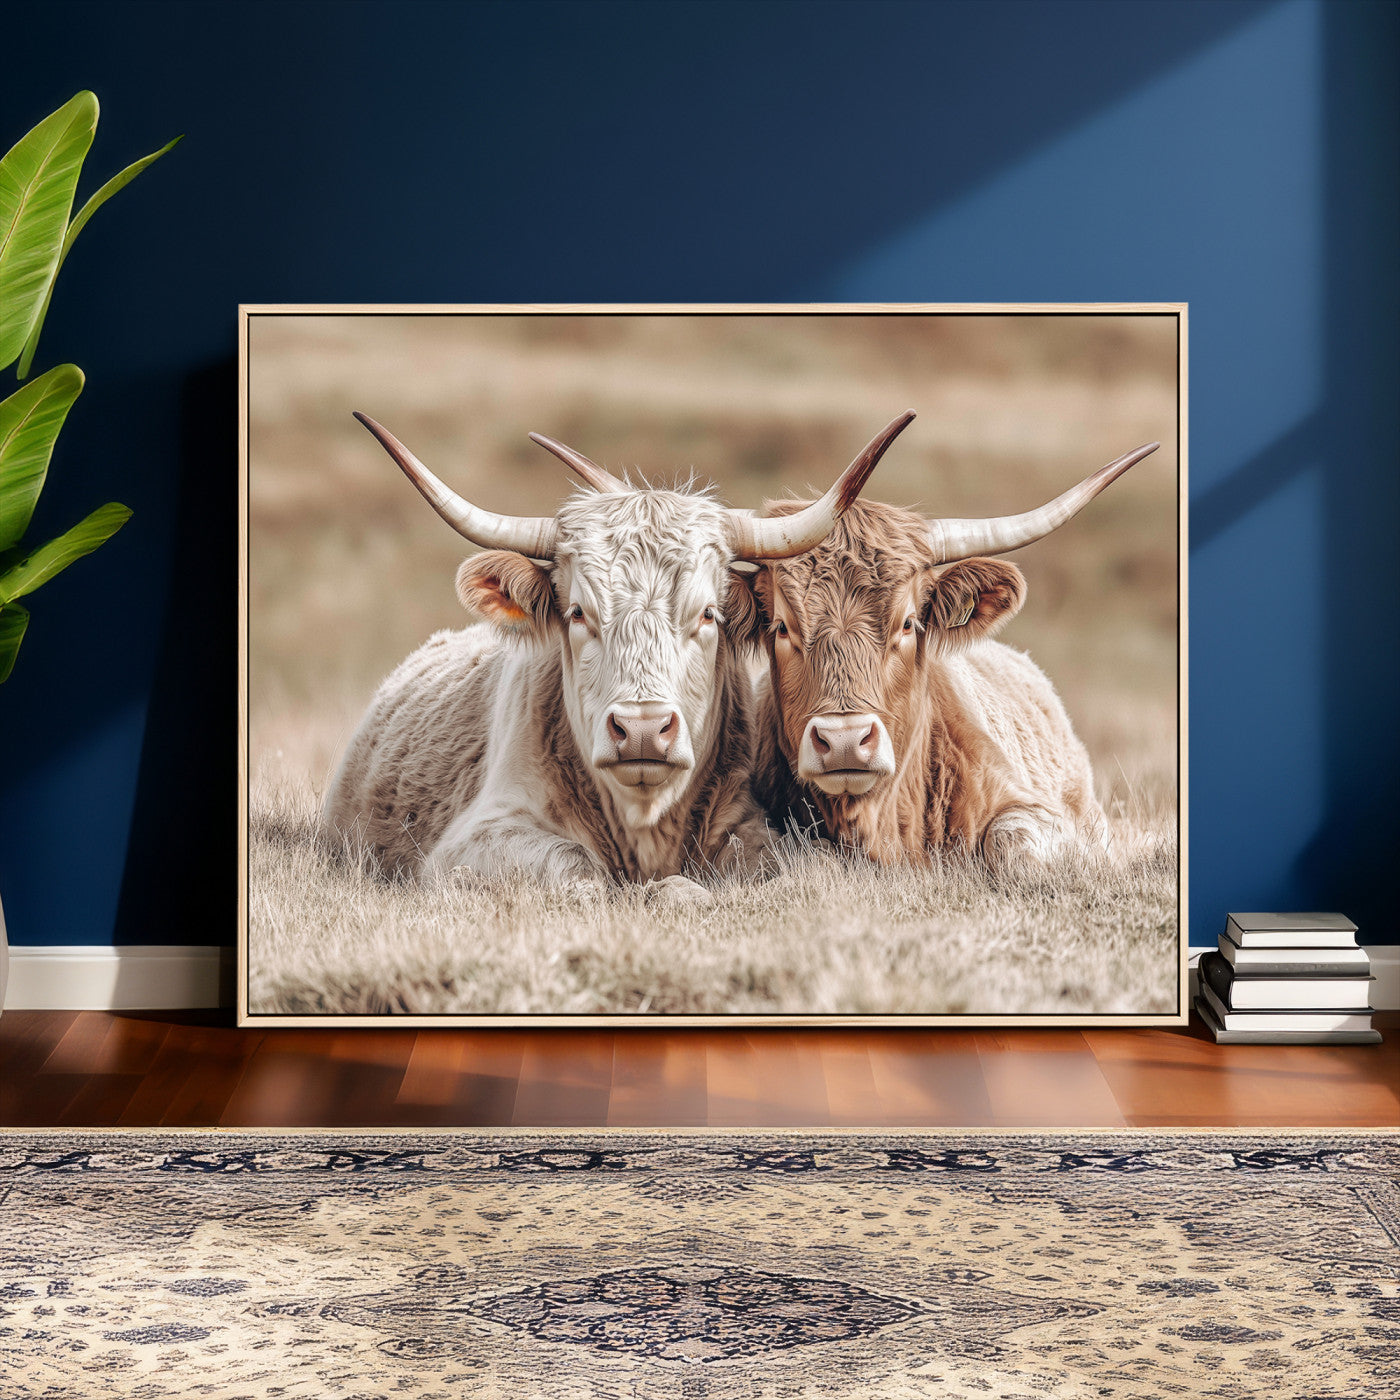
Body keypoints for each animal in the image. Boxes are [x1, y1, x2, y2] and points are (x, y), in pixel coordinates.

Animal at [320, 411, 913, 901]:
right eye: (578, 612)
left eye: (708, 614)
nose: (643, 730)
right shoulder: (477, 838)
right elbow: (574, 866)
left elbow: (800, 865)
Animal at [734, 442, 1161, 868]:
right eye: (782, 628)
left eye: (908, 623)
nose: (844, 741)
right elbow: (802, 850)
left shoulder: (1041, 814)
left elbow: (1010, 841)